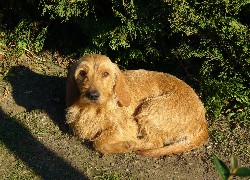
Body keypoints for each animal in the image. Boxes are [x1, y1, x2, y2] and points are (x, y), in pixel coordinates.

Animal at [65, 54, 208, 157]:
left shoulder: (127, 126)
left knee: (156, 142)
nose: (93, 95)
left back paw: (133, 144)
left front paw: (125, 144)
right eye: (82, 73)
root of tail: (202, 123)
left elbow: (98, 142)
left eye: (105, 73)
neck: (96, 109)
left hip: (149, 108)